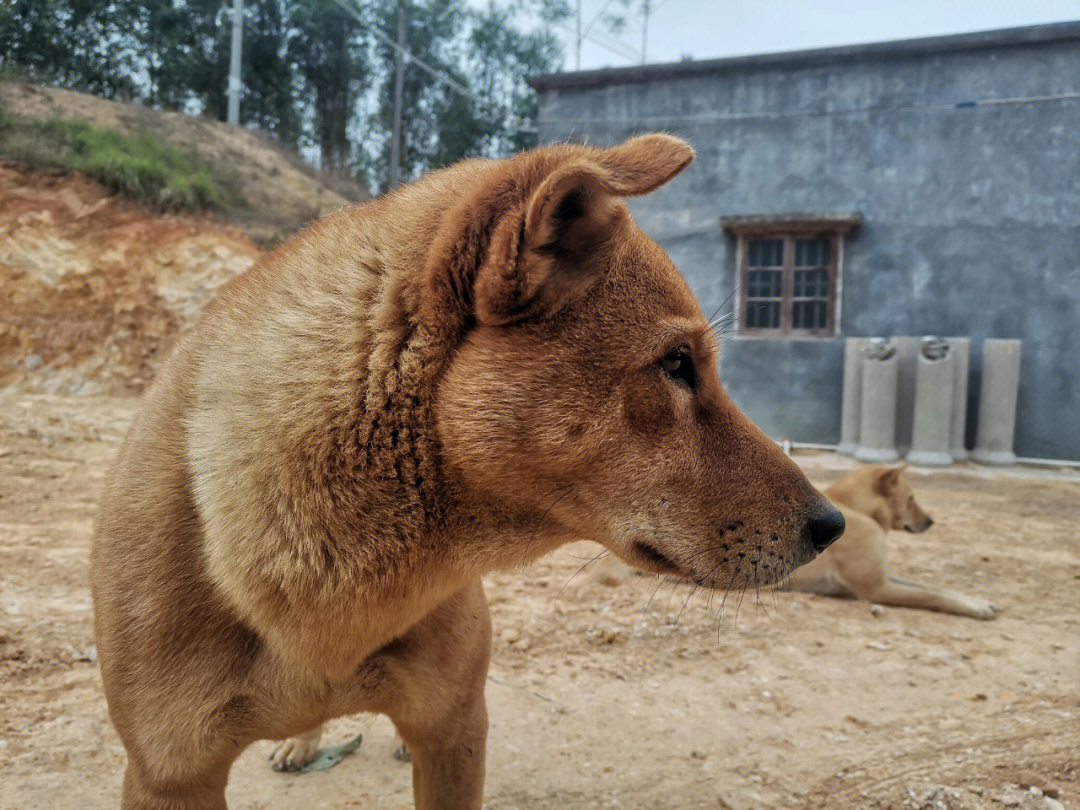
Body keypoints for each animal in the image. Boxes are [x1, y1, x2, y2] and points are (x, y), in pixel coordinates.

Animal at [781, 462, 997, 622]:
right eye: (910, 498)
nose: (931, 521)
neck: (856, 509)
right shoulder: (877, 588)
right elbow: (929, 595)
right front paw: (975, 608)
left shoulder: (885, 575)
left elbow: (932, 587)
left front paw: (977, 601)